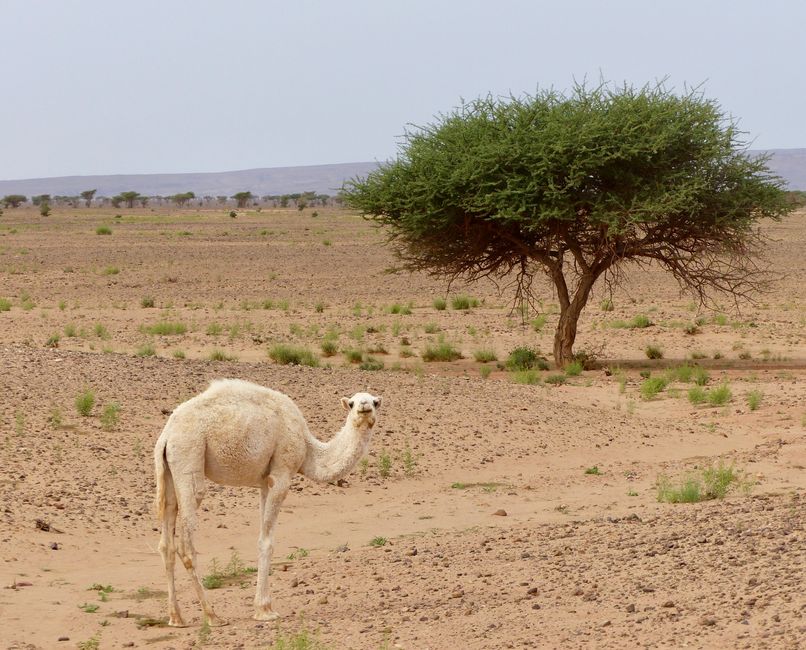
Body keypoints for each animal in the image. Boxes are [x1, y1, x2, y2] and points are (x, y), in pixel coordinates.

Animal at [153, 378, 382, 627]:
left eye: (374, 402)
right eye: (351, 403)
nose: (364, 406)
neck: (308, 449)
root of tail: (166, 436)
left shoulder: (264, 482)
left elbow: (262, 536)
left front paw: (262, 607)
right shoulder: (281, 473)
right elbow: (267, 541)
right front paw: (265, 609)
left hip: (169, 471)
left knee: (166, 542)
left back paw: (176, 617)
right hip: (189, 456)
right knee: (186, 542)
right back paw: (212, 615)